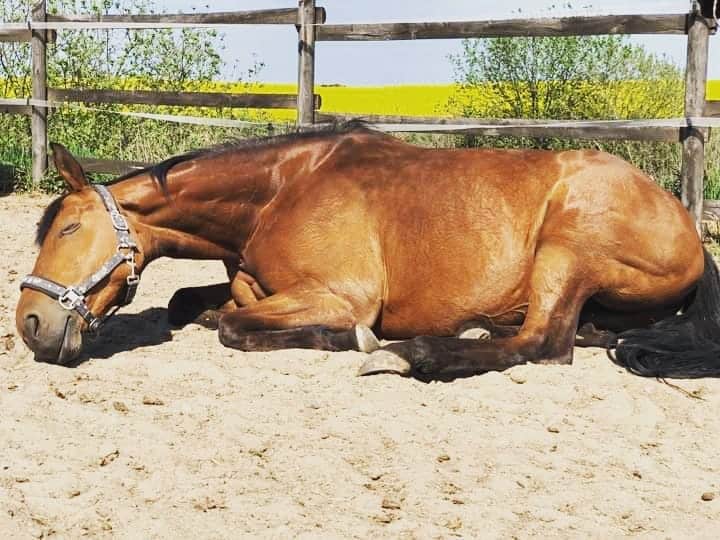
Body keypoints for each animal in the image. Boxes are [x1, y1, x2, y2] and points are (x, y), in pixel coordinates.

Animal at [15, 122, 720, 378]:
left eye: (68, 229)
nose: (30, 325)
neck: (281, 189)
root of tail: (682, 218)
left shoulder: (341, 295)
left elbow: (236, 329)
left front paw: (350, 340)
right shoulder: (250, 283)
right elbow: (191, 302)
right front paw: (209, 309)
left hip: (567, 248)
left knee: (545, 344)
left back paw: (417, 353)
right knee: (579, 333)